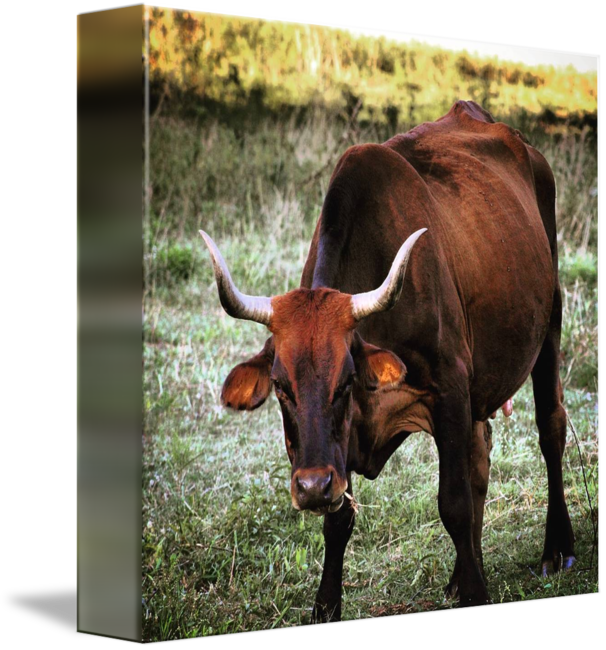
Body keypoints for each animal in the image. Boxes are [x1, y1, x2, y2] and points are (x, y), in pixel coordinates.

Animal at [199, 100, 575, 622]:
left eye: (346, 381)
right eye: (280, 386)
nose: (310, 487)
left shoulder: (450, 389)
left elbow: (453, 502)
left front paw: (476, 591)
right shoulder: (341, 452)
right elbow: (339, 521)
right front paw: (326, 605)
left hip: (549, 321)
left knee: (550, 427)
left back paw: (557, 548)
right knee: (481, 455)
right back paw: (464, 572)